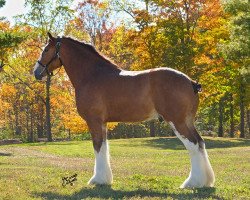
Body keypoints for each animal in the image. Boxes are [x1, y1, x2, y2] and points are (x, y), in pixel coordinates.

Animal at [33, 32, 215, 188]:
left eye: (46, 49)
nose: (36, 72)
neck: (92, 75)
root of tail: (191, 82)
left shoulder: (94, 121)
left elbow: (97, 147)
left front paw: (97, 180)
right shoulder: (102, 123)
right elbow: (104, 147)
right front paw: (105, 179)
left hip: (177, 121)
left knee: (193, 145)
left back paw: (192, 183)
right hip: (187, 121)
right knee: (200, 143)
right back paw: (205, 181)